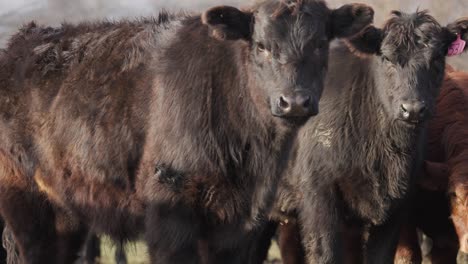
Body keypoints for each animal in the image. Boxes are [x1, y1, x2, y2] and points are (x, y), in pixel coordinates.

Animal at [0, 1, 376, 262]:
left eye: (320, 43)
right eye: (262, 46)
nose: (294, 101)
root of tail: (22, 41)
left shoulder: (239, 223)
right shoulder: (170, 213)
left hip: (64, 211)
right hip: (24, 203)